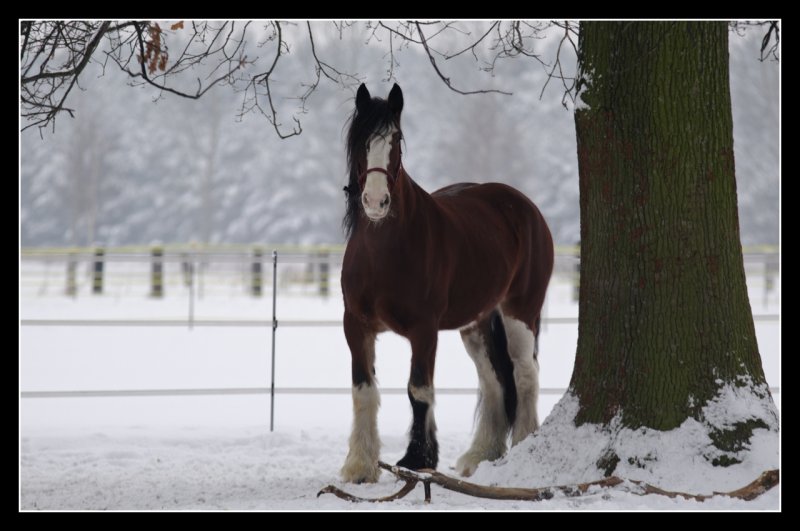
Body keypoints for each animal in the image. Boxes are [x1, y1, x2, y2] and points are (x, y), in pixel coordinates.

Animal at [340, 82, 552, 482]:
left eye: (397, 139)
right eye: (360, 141)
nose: (375, 201)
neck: (384, 252)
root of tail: (525, 207)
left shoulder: (424, 329)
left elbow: (418, 390)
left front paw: (417, 459)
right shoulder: (356, 325)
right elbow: (363, 390)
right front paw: (360, 465)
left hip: (520, 312)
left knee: (525, 374)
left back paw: (522, 444)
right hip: (477, 323)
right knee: (493, 380)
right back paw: (480, 454)